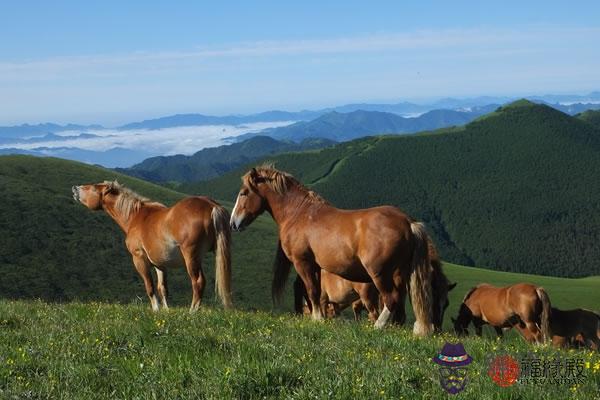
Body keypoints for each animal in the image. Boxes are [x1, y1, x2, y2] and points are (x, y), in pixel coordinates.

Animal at [74, 180, 233, 310]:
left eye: (94, 187)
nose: (75, 188)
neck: (135, 217)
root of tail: (212, 206)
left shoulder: (139, 259)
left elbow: (150, 287)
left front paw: (156, 310)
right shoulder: (159, 264)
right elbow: (162, 289)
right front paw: (166, 311)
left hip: (191, 257)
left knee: (198, 282)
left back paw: (192, 311)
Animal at [227, 164, 438, 336]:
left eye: (244, 193)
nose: (233, 223)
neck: (299, 213)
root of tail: (408, 223)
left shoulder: (302, 263)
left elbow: (311, 291)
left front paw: (317, 319)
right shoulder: (316, 266)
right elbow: (315, 293)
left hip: (379, 274)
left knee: (391, 299)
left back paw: (378, 327)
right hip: (399, 273)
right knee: (399, 303)